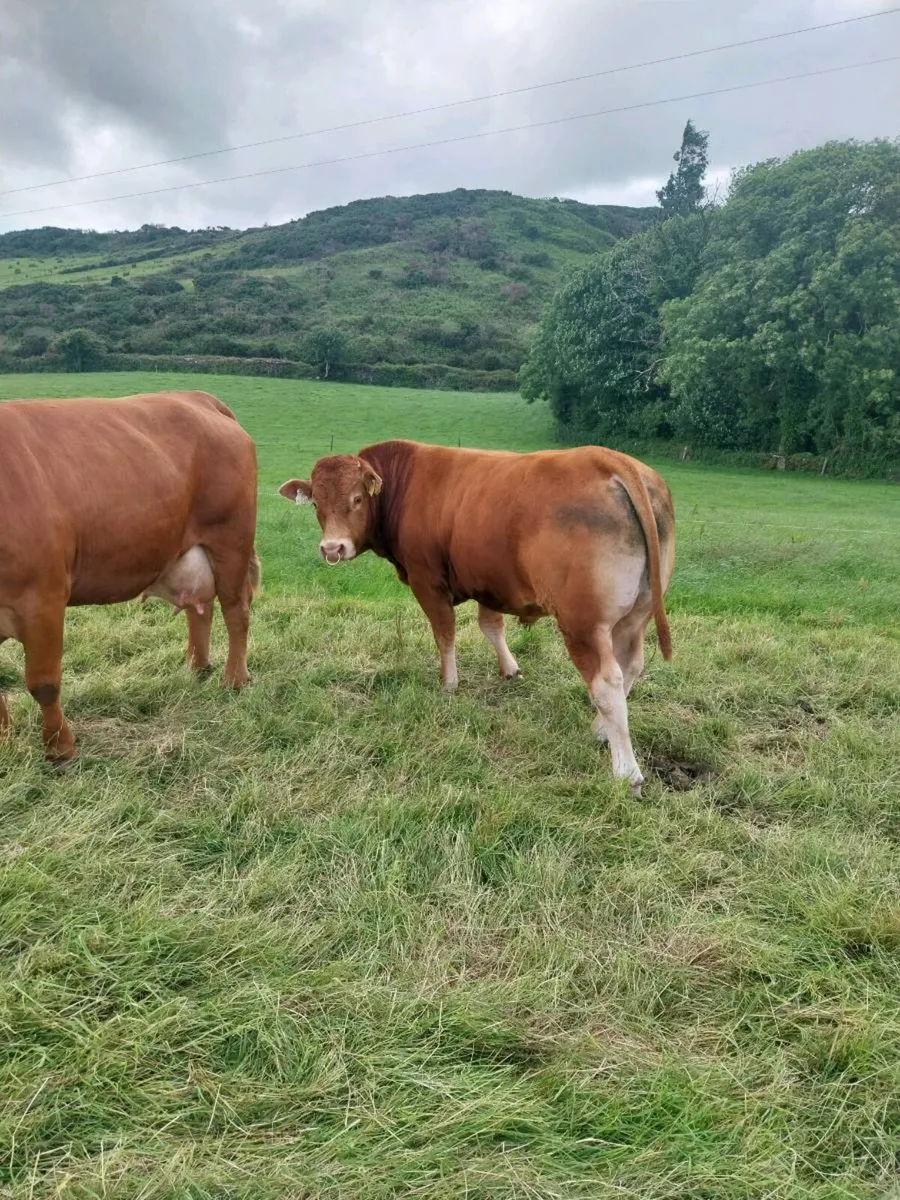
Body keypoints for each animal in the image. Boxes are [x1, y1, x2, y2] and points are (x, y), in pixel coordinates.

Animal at [0, 390, 259, 764]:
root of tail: (196, 397)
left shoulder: (41, 598)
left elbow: (44, 683)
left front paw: (61, 749)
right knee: (201, 609)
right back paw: (196, 668)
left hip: (231, 540)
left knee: (236, 610)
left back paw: (234, 681)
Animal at [280, 440, 674, 792]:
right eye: (316, 503)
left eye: (357, 499)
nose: (332, 548)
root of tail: (610, 459)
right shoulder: (491, 582)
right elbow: (491, 626)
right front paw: (510, 668)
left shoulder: (427, 581)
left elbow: (444, 633)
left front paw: (449, 683)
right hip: (635, 616)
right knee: (630, 666)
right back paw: (600, 730)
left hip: (583, 624)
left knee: (607, 682)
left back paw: (627, 772)